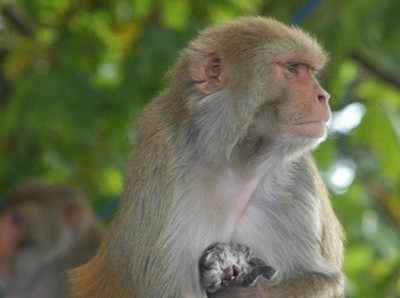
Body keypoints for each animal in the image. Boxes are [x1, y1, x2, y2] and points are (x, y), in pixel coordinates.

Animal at [71, 16, 344, 298]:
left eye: (309, 70)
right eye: (293, 68)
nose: (323, 96)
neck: (236, 162)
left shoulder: (296, 176)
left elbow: (319, 278)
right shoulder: (161, 162)